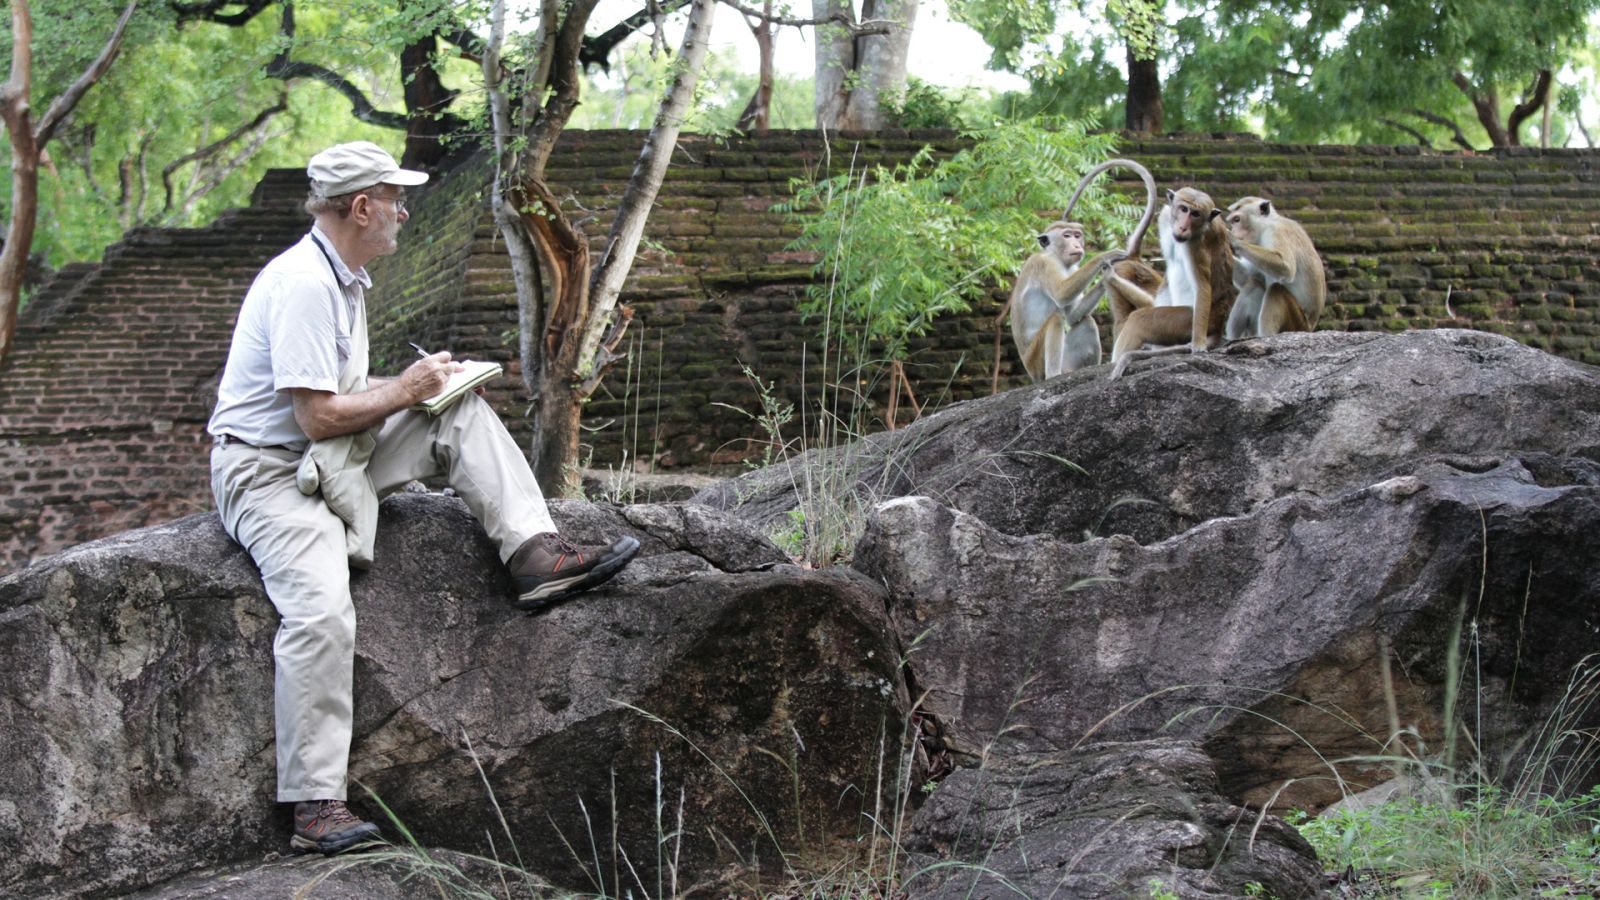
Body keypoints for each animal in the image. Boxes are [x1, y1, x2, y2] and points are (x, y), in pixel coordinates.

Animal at [1004, 159, 1158, 381]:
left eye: (1077, 235)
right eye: (1067, 236)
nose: (1077, 245)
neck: (1056, 256)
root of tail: (1031, 373)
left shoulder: (1072, 266)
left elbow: (1074, 315)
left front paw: (1107, 276)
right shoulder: (1044, 264)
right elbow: (1061, 295)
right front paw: (1105, 256)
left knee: (1085, 321)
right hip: (1035, 360)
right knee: (1056, 320)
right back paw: (1053, 375)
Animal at [1104, 186, 1238, 380]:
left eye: (1195, 214)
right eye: (1183, 209)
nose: (1182, 227)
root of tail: (1218, 325)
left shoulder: (1196, 244)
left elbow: (1203, 288)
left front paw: (1198, 345)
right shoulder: (1166, 215)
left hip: (1185, 321)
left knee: (1139, 320)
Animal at [1223, 197, 1326, 341]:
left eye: (1237, 220)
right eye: (1233, 221)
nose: (1233, 230)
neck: (1266, 224)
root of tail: (1310, 327)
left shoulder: (1276, 231)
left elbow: (1286, 268)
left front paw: (1232, 239)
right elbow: (1248, 276)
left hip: (1296, 324)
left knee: (1275, 290)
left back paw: (1265, 336)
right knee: (1255, 284)